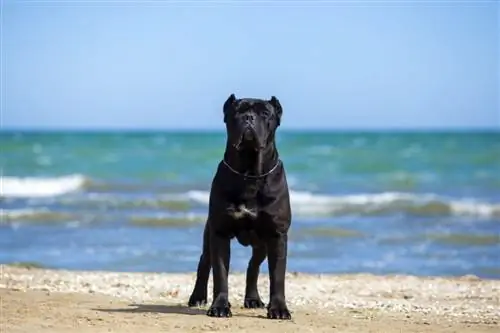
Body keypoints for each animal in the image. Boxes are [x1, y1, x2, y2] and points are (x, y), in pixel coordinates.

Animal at [188, 92, 292, 320]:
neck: (249, 173)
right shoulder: (219, 233)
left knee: (253, 266)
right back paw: (197, 297)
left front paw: (279, 308)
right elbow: (220, 274)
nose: (249, 118)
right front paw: (219, 306)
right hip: (209, 236)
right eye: (237, 111)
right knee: (204, 263)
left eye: (265, 113)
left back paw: (253, 298)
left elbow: (277, 276)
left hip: (262, 245)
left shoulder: (277, 235)